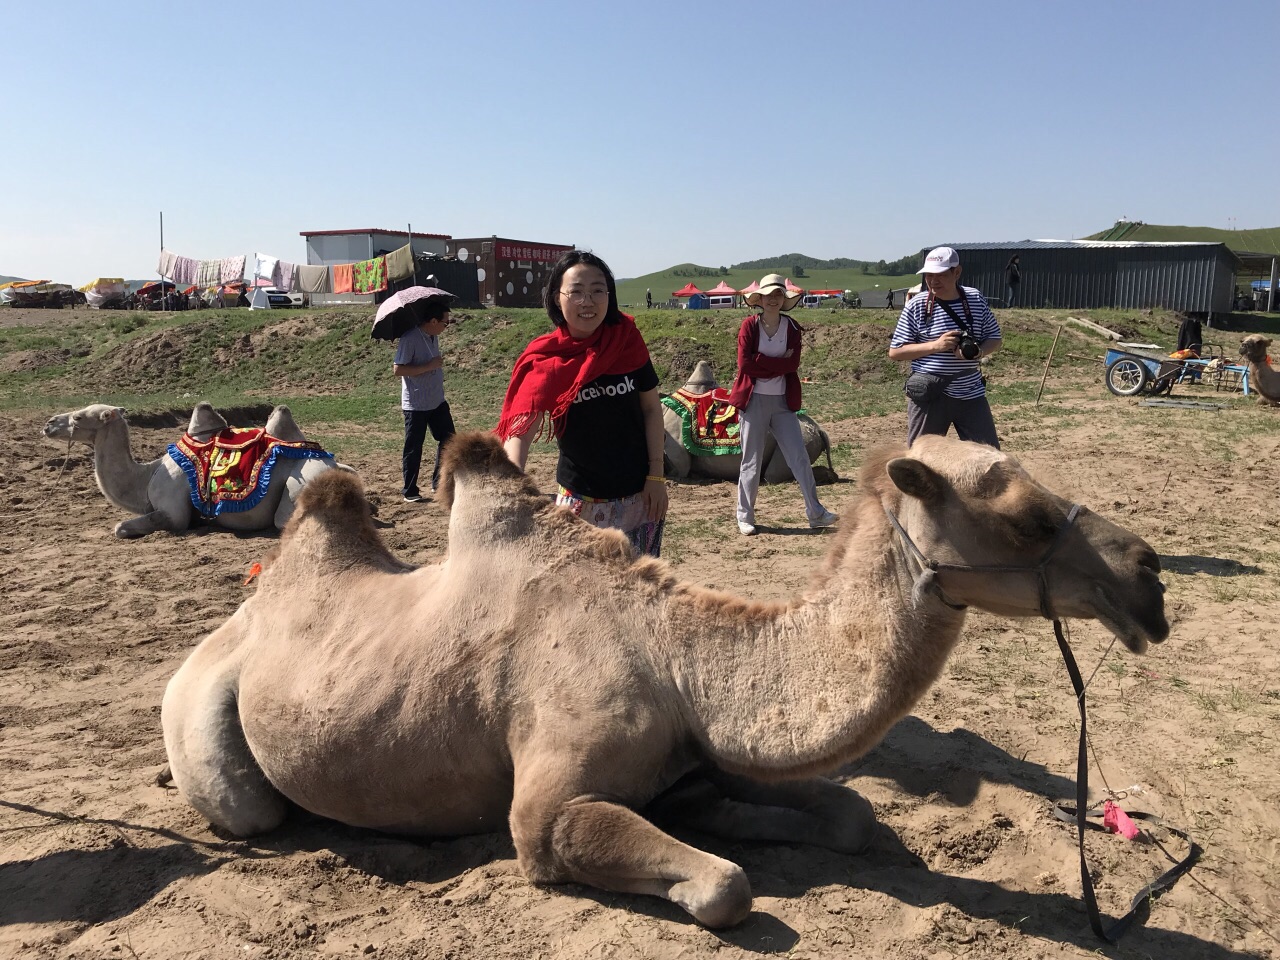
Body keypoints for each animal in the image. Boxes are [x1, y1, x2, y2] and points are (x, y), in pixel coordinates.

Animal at [43, 399, 350, 542]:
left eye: (78, 417)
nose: (48, 423)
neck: (147, 477)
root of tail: (335, 464)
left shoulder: (173, 513)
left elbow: (120, 528)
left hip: (299, 487)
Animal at [162, 432, 1172, 926]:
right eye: (1029, 518)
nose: (1152, 580)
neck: (673, 657)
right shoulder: (545, 811)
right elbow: (724, 886)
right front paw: (697, 881)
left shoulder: (696, 753)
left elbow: (847, 813)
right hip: (207, 733)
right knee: (249, 810)